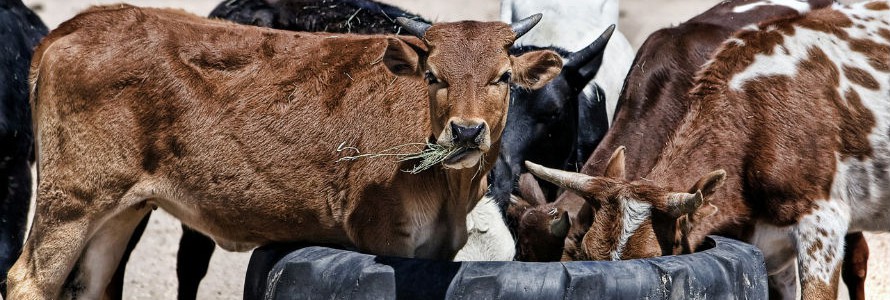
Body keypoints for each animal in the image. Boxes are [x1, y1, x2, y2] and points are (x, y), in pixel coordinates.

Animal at [6, 4, 560, 298]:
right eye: (433, 76)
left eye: (503, 77)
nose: (465, 132)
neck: (450, 188)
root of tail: (79, 24)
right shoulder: (383, 237)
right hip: (70, 203)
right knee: (28, 279)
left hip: (120, 210)